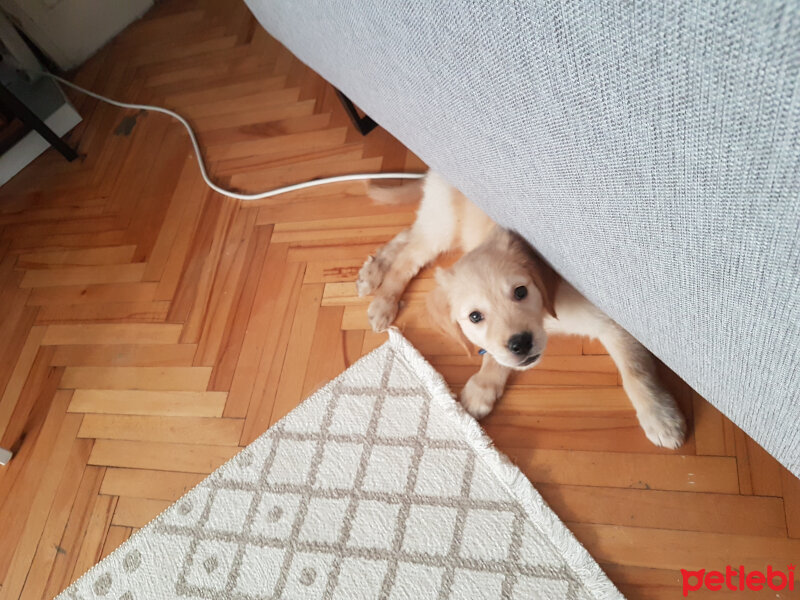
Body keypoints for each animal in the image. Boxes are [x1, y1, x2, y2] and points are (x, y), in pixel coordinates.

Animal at [356, 171, 688, 448]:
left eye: (520, 292)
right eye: (475, 317)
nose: (521, 344)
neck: (545, 314)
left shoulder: (610, 318)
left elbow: (635, 370)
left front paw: (659, 417)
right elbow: (493, 352)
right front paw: (484, 385)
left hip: (439, 224)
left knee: (407, 236)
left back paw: (372, 273)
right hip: (443, 223)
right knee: (407, 257)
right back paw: (382, 297)